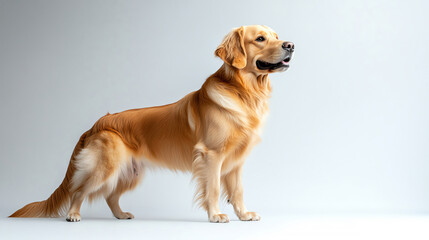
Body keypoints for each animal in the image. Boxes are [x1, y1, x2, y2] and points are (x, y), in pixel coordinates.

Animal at [10, 24, 292, 223]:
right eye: (260, 38)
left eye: (276, 36)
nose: (290, 45)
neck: (244, 92)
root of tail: (97, 123)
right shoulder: (211, 156)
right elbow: (212, 189)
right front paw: (216, 215)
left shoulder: (236, 162)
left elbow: (238, 191)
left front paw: (244, 215)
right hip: (105, 166)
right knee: (80, 190)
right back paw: (73, 215)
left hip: (129, 172)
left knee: (110, 196)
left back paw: (121, 214)